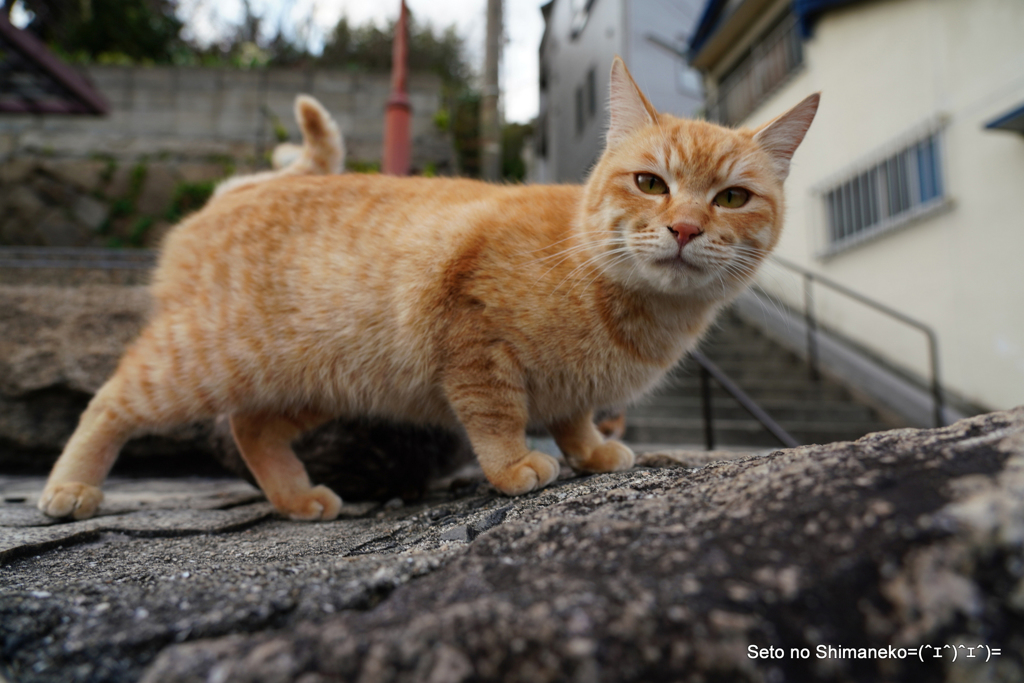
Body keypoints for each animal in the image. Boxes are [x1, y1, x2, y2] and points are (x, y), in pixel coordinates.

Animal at [39, 58, 819, 520]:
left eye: (731, 197)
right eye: (651, 183)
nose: (685, 228)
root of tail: (234, 192)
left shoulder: (570, 385)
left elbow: (573, 412)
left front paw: (593, 451)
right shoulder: (473, 339)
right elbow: (500, 414)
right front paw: (516, 466)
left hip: (312, 382)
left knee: (249, 428)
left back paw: (296, 497)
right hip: (198, 362)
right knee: (109, 400)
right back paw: (70, 487)